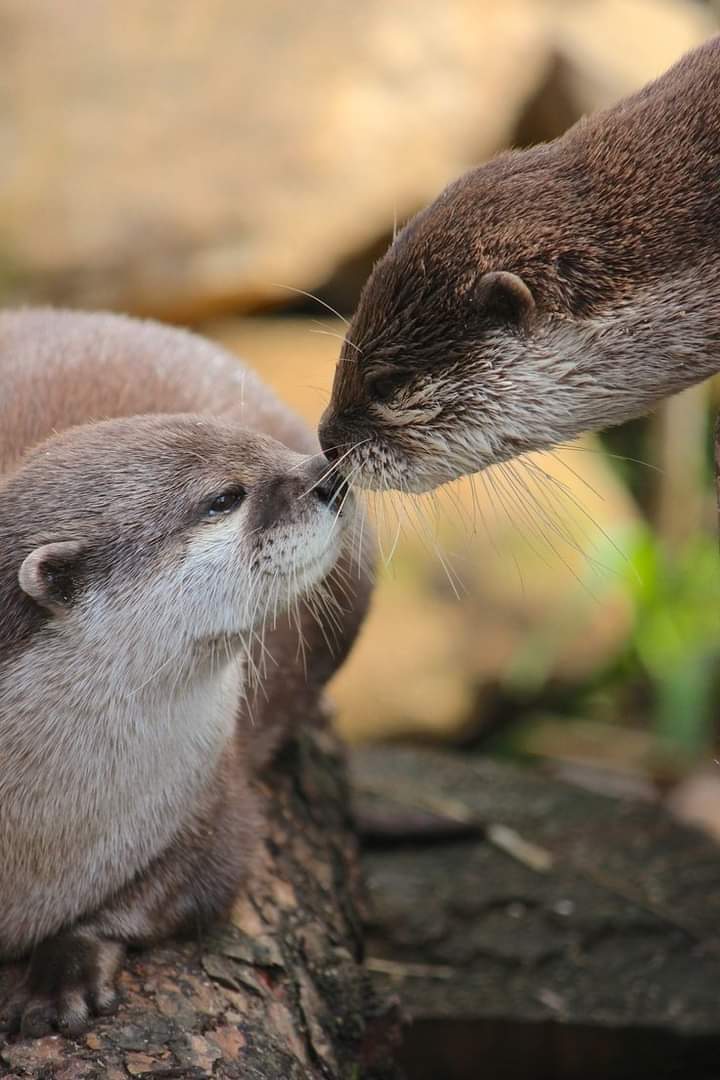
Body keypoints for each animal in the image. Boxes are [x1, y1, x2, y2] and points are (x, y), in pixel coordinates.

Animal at [0, 306, 371, 1036]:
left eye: (261, 447)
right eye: (224, 497)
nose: (329, 474)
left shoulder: (208, 798)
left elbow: (186, 885)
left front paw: (65, 970)